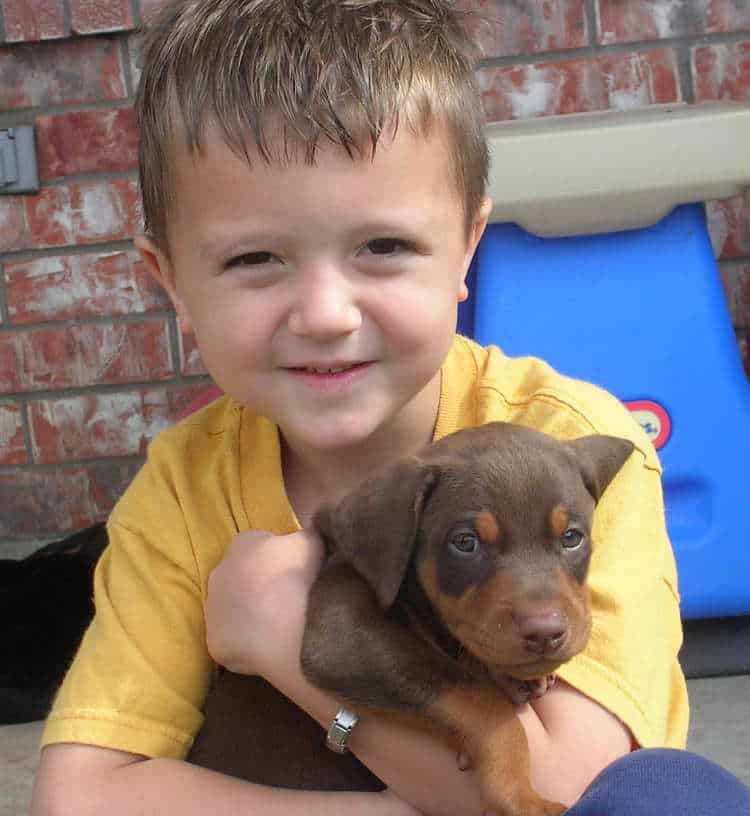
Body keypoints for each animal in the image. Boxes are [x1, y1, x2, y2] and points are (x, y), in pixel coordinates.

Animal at [191, 420, 636, 816]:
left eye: (572, 537)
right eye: (465, 543)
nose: (545, 633)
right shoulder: (343, 636)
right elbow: (483, 701)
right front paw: (518, 794)